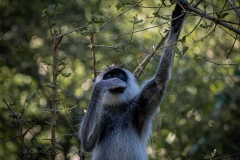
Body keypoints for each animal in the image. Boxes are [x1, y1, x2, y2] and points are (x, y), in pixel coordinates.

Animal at [79, 0, 188, 159]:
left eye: (119, 74)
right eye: (109, 75)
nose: (114, 78)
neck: (118, 107)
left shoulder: (139, 107)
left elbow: (159, 81)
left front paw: (177, 20)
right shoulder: (104, 113)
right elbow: (87, 143)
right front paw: (105, 84)